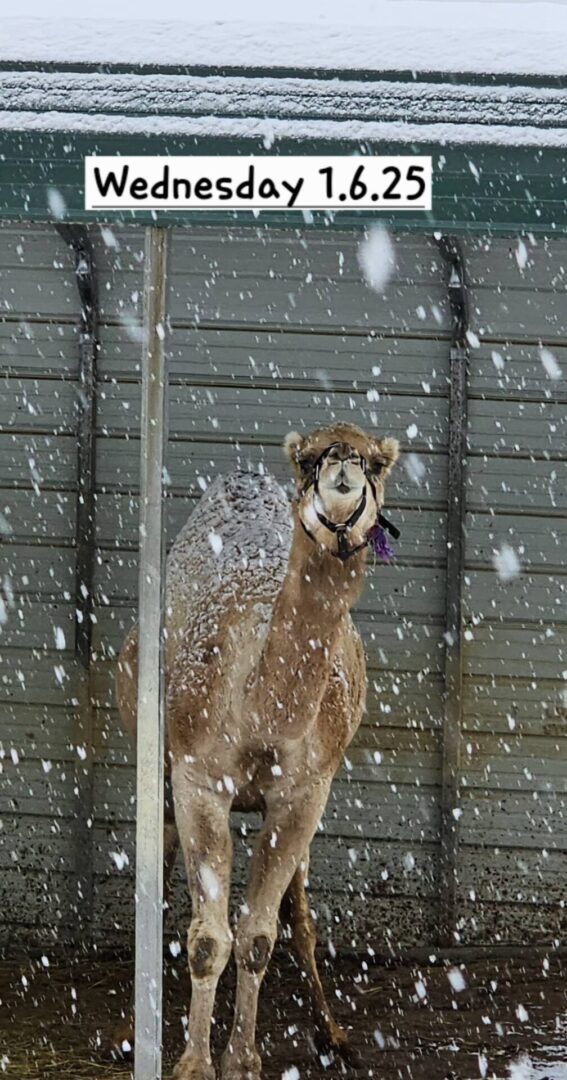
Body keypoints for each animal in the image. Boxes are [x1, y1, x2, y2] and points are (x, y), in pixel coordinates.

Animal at [113, 420, 399, 1079]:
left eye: (374, 462)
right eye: (308, 458)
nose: (342, 465)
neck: (262, 718)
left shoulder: (305, 793)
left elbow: (258, 935)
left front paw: (243, 1059)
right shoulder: (197, 781)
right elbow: (208, 939)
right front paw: (194, 1064)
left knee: (295, 911)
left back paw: (331, 1031)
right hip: (158, 759)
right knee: (161, 874)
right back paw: (135, 1028)